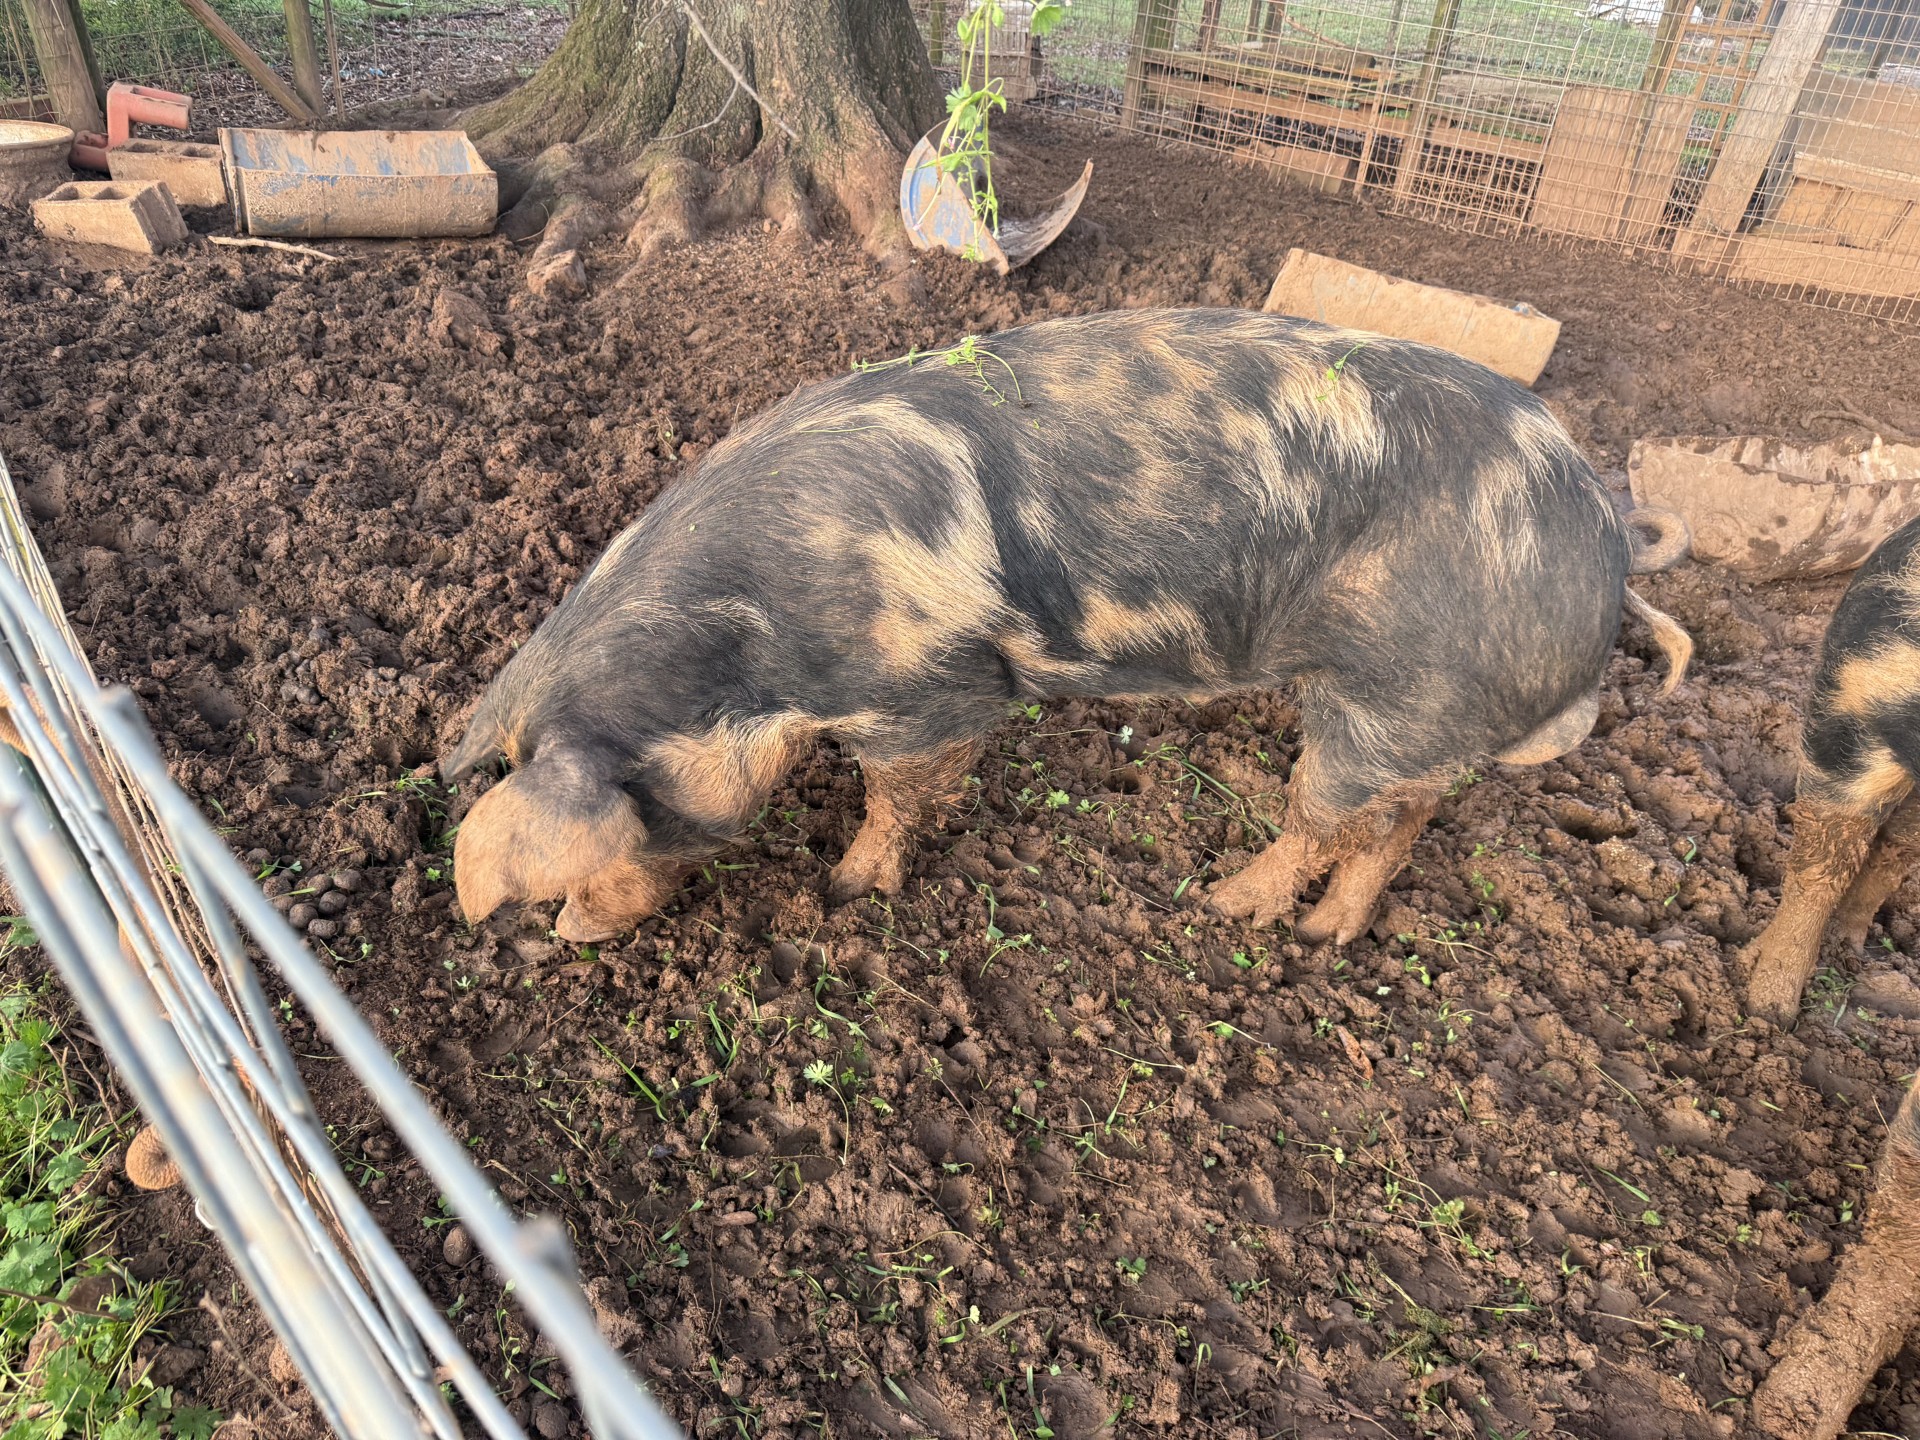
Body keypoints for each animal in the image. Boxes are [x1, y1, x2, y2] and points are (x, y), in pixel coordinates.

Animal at [440, 308, 1692, 946]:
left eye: (621, 825)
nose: (571, 935)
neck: (746, 656)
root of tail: (1604, 544)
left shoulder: (915, 696)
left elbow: (893, 798)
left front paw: (847, 890)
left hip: (1390, 702)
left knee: (1323, 819)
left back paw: (1227, 909)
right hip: (1426, 722)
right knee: (1398, 828)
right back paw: (1324, 939)